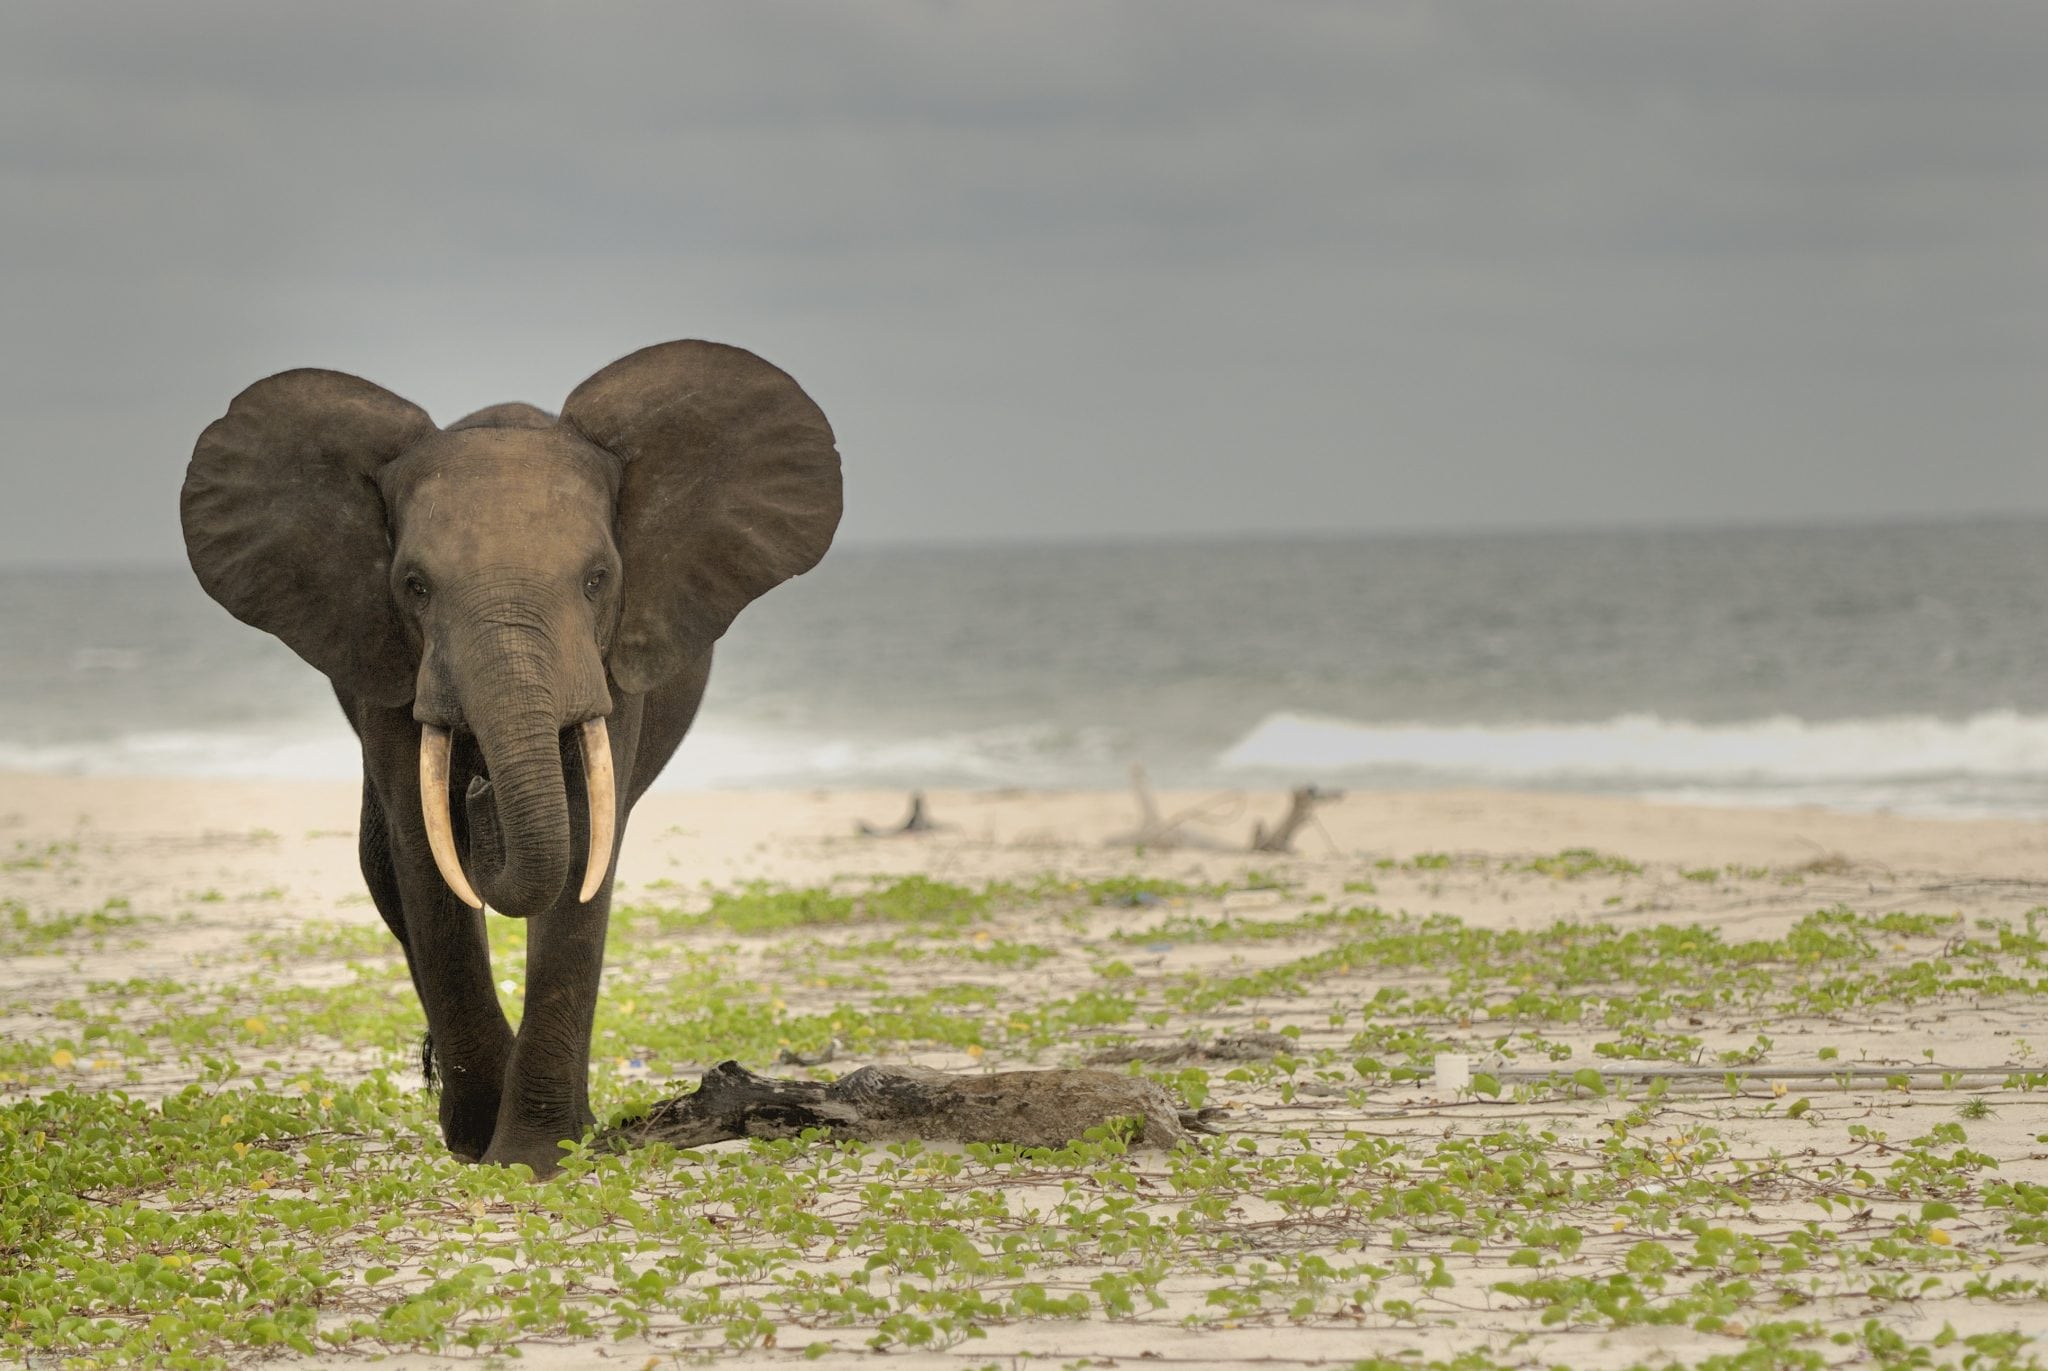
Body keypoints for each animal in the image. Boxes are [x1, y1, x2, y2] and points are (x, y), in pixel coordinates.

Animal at [180, 336, 839, 1172]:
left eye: (597, 579)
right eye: (414, 585)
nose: (481, 790)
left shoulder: (608, 664)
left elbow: (584, 842)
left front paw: (537, 1153)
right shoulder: (388, 665)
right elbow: (426, 858)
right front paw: (479, 1141)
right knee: (382, 868)